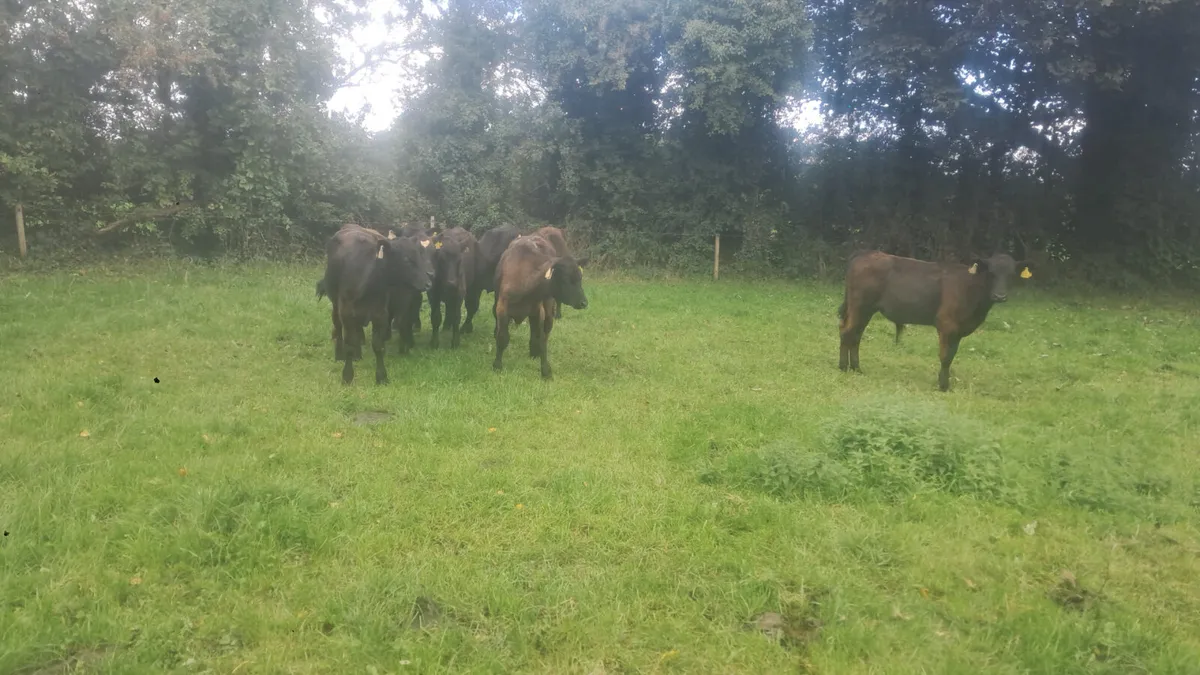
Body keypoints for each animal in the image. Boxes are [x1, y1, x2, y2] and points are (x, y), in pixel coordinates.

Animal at [317, 224, 433, 384]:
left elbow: (378, 346)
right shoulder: (347, 313)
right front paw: (347, 376)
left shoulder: (380, 314)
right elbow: (349, 345)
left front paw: (381, 376)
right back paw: (340, 354)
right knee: (338, 326)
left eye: (420, 255)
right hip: (336, 303)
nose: (428, 283)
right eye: (406, 259)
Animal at [492, 234, 589, 380]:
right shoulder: (502, 308)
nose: (584, 303)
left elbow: (542, 341)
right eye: (566, 279)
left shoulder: (538, 311)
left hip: (547, 308)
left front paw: (545, 370)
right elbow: (502, 338)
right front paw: (497, 365)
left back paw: (534, 350)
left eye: (580, 278)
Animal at [837, 250, 1032, 391]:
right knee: (847, 332)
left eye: (1011, 274)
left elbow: (952, 355)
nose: (1000, 296)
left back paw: (856, 368)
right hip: (860, 307)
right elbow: (945, 356)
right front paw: (943, 386)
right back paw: (843, 367)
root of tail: (864, 254)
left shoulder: (958, 330)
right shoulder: (947, 324)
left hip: (865, 310)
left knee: (855, 335)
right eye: (991, 273)